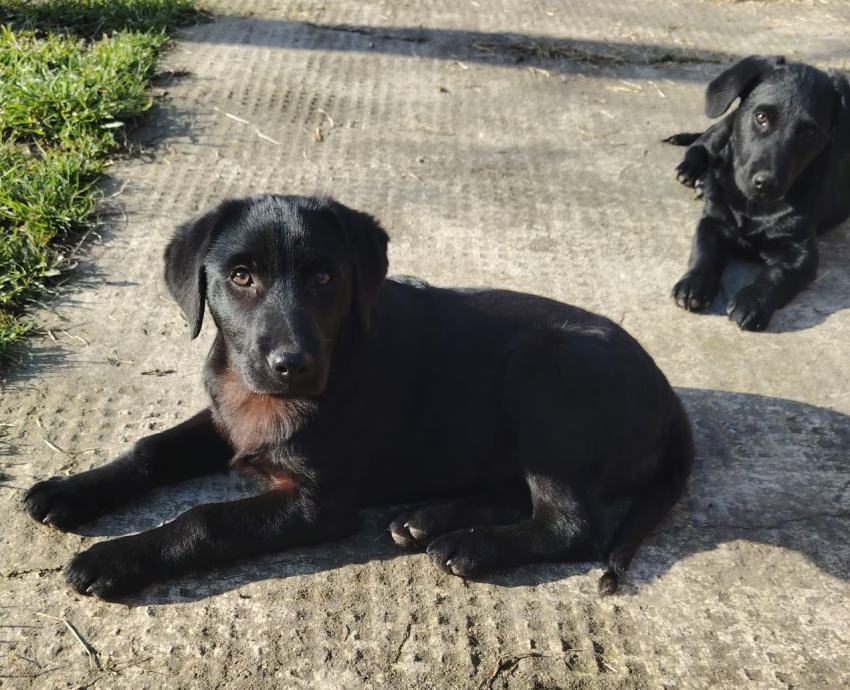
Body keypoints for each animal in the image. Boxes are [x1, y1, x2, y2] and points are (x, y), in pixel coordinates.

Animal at [24, 195, 693, 598]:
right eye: (240, 277)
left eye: (325, 277)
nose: (291, 364)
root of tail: (669, 396)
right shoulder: (227, 416)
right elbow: (151, 449)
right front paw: (70, 490)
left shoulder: (320, 502)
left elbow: (205, 519)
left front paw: (114, 559)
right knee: (517, 492)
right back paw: (427, 519)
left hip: (543, 376)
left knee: (573, 524)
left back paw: (469, 546)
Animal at [666, 55, 850, 330]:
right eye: (761, 116)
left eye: (810, 132)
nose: (765, 182)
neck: (753, 206)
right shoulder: (712, 221)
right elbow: (703, 252)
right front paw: (693, 283)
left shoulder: (801, 251)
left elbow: (778, 275)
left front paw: (752, 301)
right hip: (727, 124)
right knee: (703, 141)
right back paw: (693, 171)